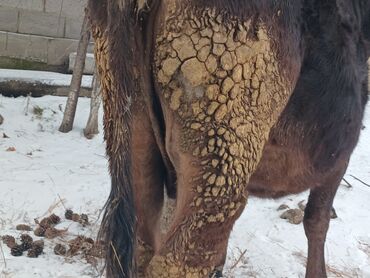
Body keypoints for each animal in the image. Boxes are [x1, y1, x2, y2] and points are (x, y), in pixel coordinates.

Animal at [87, 0, 370, 276]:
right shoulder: (338, 160)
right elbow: (317, 220)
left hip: (130, 131)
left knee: (142, 246)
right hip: (222, 158)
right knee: (176, 261)